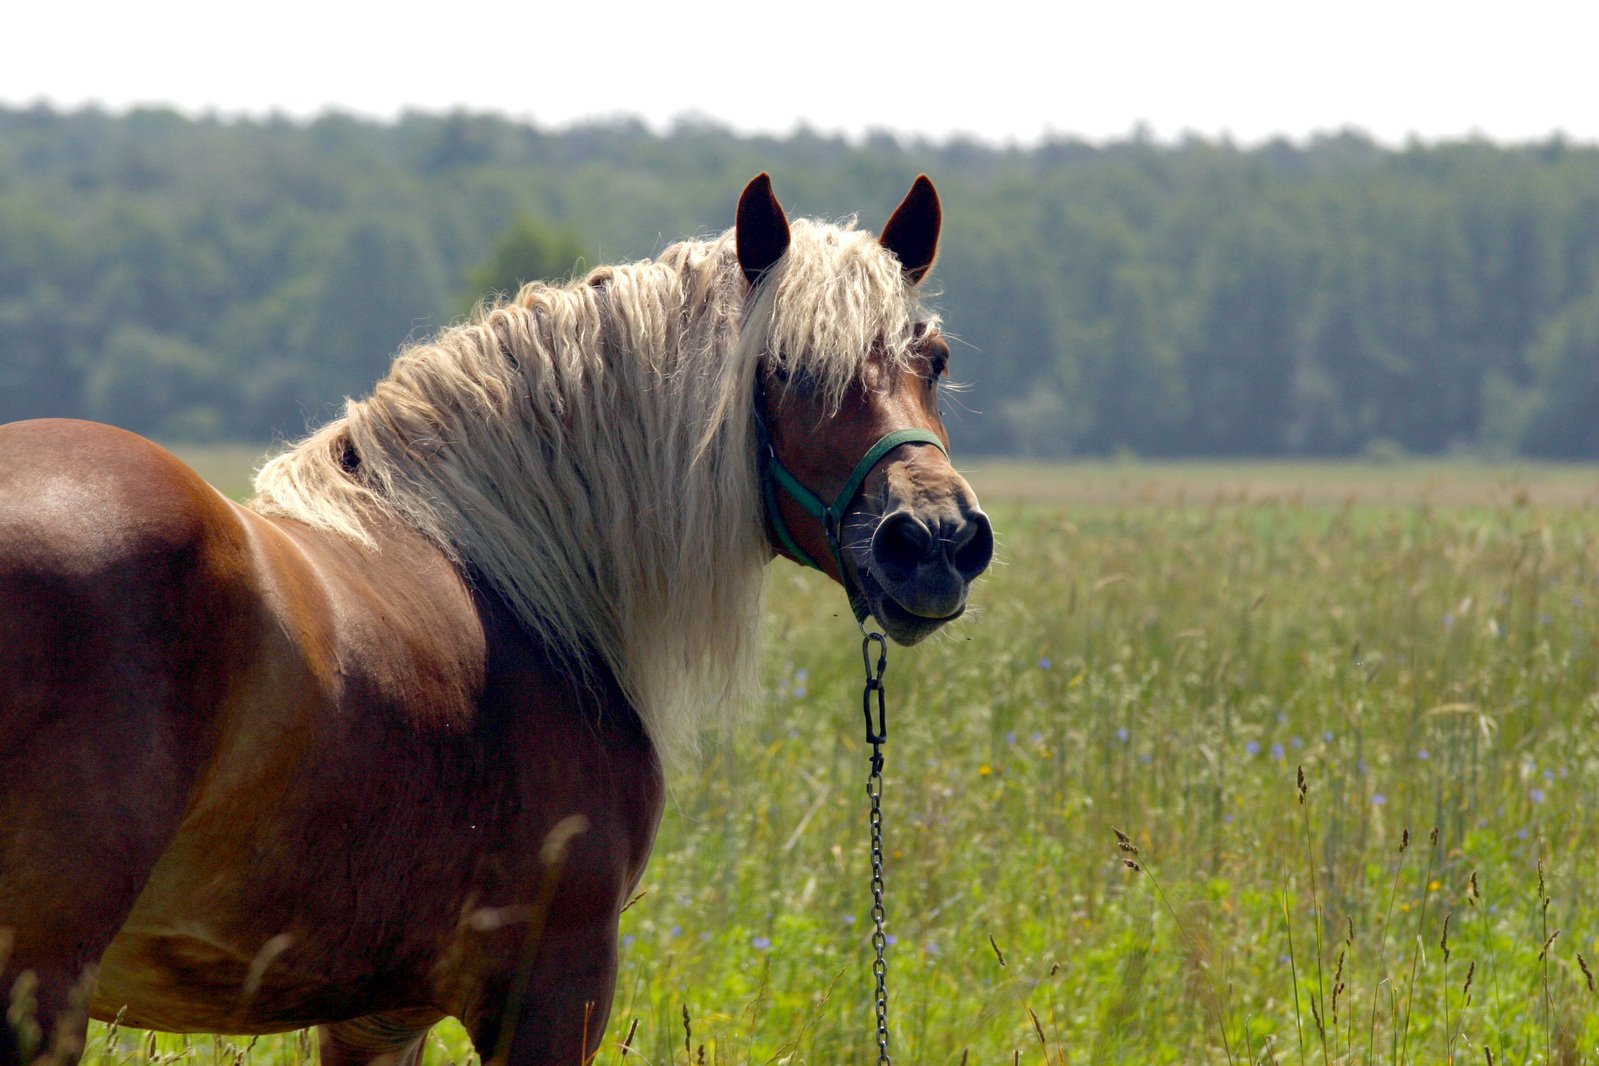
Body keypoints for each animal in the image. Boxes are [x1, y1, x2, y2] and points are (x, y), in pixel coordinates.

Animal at [0, 171, 991, 1061]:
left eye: (935, 360)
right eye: (782, 370)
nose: (934, 540)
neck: (515, 582)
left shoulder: (378, 1018)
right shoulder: (554, 993)